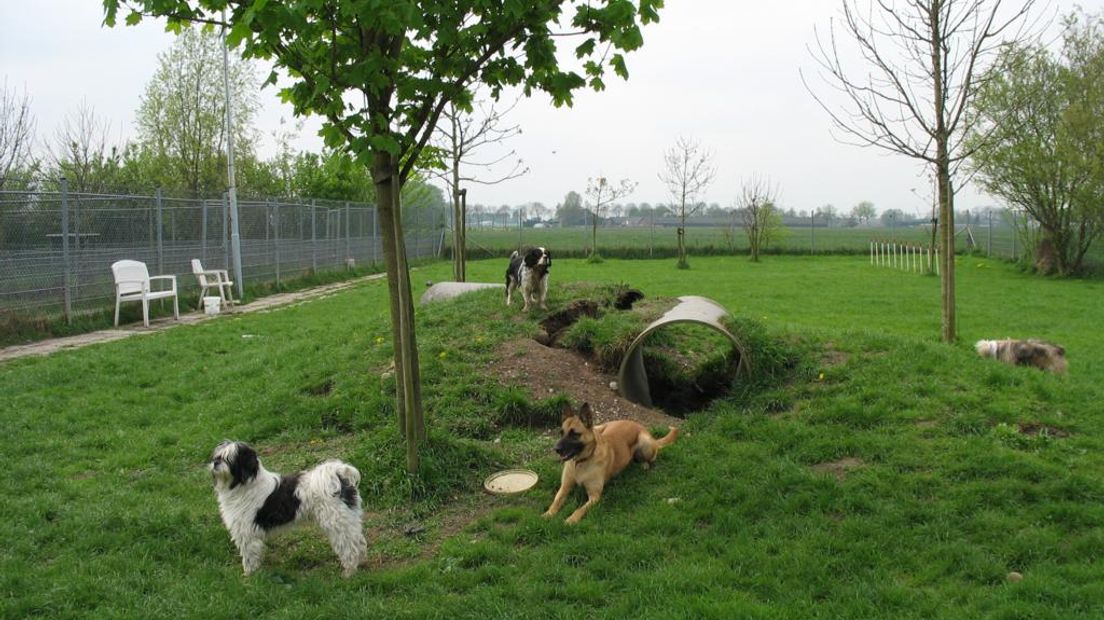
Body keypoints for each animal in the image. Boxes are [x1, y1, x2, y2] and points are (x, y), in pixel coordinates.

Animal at [210, 439, 370, 573]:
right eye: (217, 456)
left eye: (230, 459)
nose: (216, 463)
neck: (245, 484)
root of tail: (337, 475)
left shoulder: (246, 532)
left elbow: (249, 556)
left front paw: (250, 575)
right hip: (348, 519)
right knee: (359, 541)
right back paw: (360, 564)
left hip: (336, 522)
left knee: (350, 547)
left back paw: (349, 572)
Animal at [540, 401, 675, 520]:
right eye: (561, 432)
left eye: (575, 434)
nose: (556, 449)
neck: (581, 462)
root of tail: (637, 424)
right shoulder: (564, 488)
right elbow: (556, 502)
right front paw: (548, 514)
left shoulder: (594, 496)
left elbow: (580, 510)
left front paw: (571, 520)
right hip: (600, 427)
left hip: (645, 444)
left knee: (652, 457)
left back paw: (645, 465)